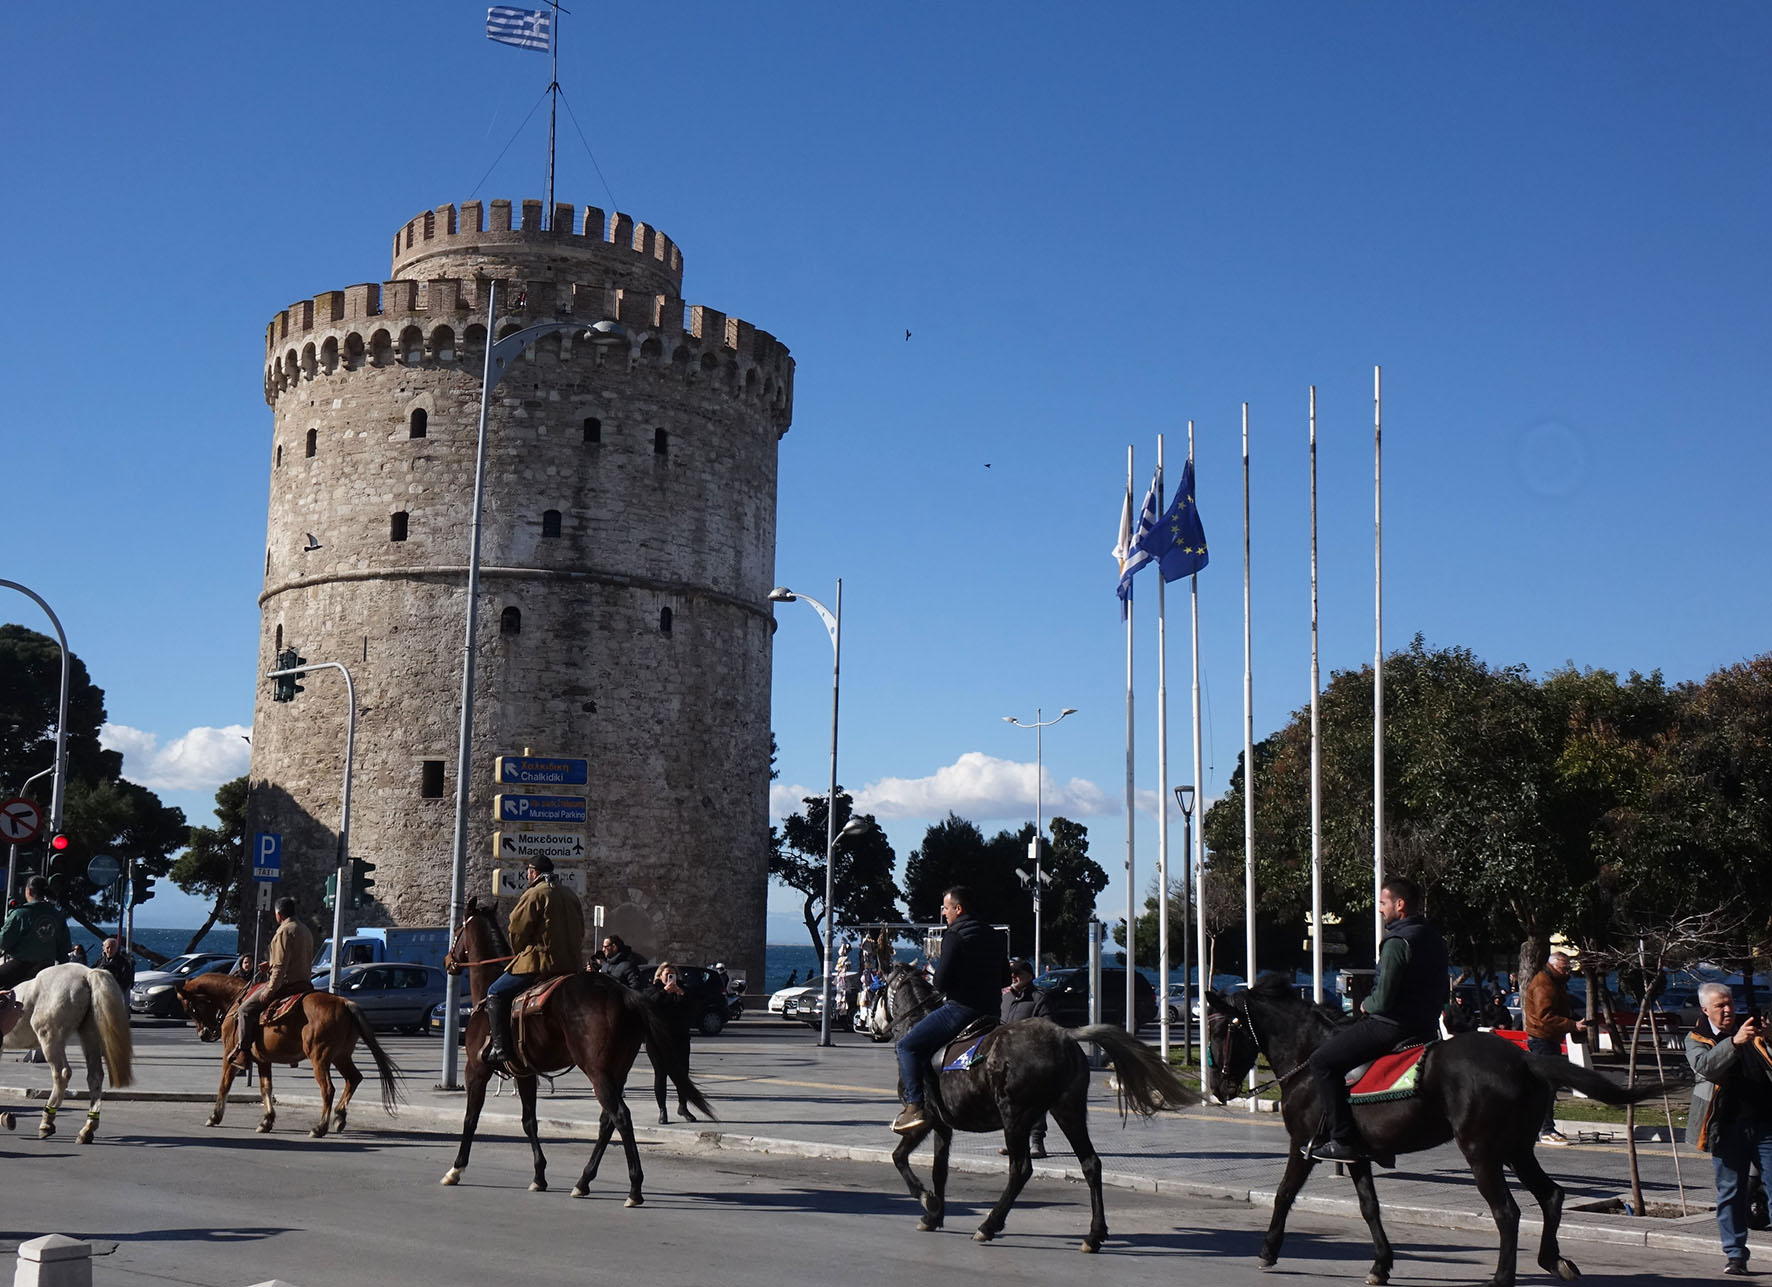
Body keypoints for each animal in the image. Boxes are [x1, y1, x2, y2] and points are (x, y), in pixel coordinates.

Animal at [3, 964, 132, 1141]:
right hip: (90, 1034)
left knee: (62, 1073)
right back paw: (87, 1129)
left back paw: (47, 1122)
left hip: (50, 1036)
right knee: (95, 1076)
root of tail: (86, 974)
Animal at [175, 971, 405, 1141]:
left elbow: (224, 1084)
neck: (235, 999)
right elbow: (265, 1088)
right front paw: (266, 1120)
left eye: (191, 1008)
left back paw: (319, 1127)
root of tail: (344, 1003)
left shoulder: (230, 1054)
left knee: (328, 1090)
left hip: (320, 1058)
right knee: (354, 1078)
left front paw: (214, 1116)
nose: (204, 1034)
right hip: (341, 1056)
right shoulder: (263, 1060)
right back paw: (339, 1117)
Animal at [439, 897, 708, 1212]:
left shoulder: (476, 1069)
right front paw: (539, 1175)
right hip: (616, 1072)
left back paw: (634, 1188)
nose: (448, 961)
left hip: (597, 1071)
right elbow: (529, 1121)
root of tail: (624, 993)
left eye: (457, 930)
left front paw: (456, 1168)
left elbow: (471, 1118)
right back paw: (584, 1180)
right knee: (607, 1121)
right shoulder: (525, 1074)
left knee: (620, 1116)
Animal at [882, 964, 1197, 1248]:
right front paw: (934, 1213)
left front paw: (928, 1201)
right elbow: (936, 1167)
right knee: (1091, 1163)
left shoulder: (926, 1119)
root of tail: (1064, 1036)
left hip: (1015, 1116)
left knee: (1020, 1169)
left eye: (880, 990)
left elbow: (900, 1157)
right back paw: (1094, 1235)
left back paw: (989, 1225)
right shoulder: (941, 1124)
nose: (876, 1027)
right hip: (1068, 1109)